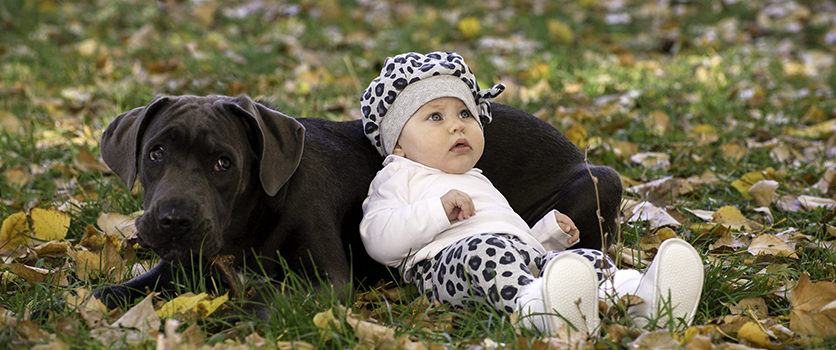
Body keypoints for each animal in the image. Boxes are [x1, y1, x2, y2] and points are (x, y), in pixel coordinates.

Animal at [96, 94, 620, 308]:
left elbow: (265, 297)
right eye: (156, 153)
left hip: (602, 180)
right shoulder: (180, 266)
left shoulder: (328, 280)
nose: (173, 219)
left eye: (223, 163)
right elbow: (119, 291)